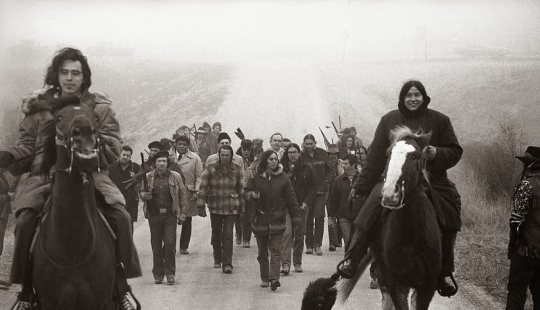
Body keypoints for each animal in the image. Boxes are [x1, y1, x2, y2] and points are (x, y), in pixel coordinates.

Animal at [338, 126, 442, 310]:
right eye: (387, 155)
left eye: (415, 156)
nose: (390, 193)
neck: (412, 234)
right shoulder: (396, 283)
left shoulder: (427, 286)